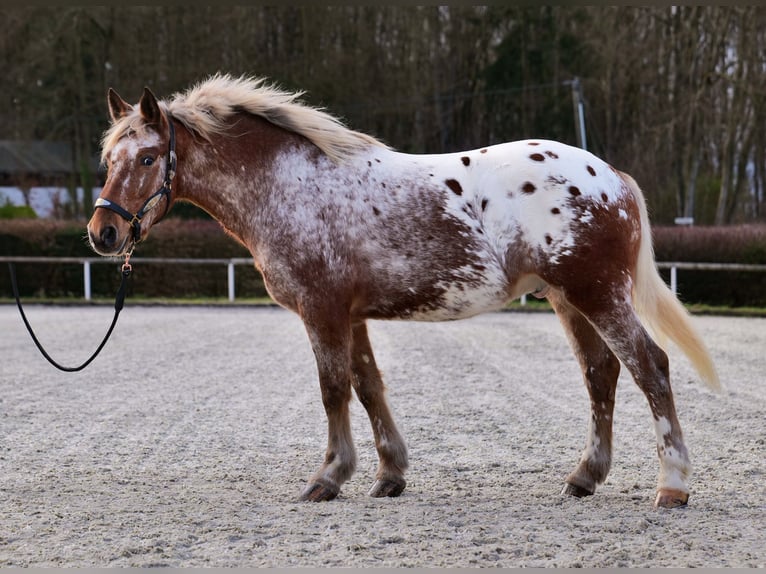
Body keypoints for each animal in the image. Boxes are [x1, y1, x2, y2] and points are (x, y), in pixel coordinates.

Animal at [87, 74, 724, 510]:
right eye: (108, 158)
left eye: (147, 157)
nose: (103, 233)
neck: (289, 184)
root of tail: (612, 177)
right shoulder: (351, 315)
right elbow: (368, 387)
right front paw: (388, 474)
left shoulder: (322, 312)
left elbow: (333, 391)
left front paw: (328, 477)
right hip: (571, 301)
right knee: (601, 375)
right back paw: (584, 477)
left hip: (598, 295)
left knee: (649, 366)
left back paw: (672, 486)